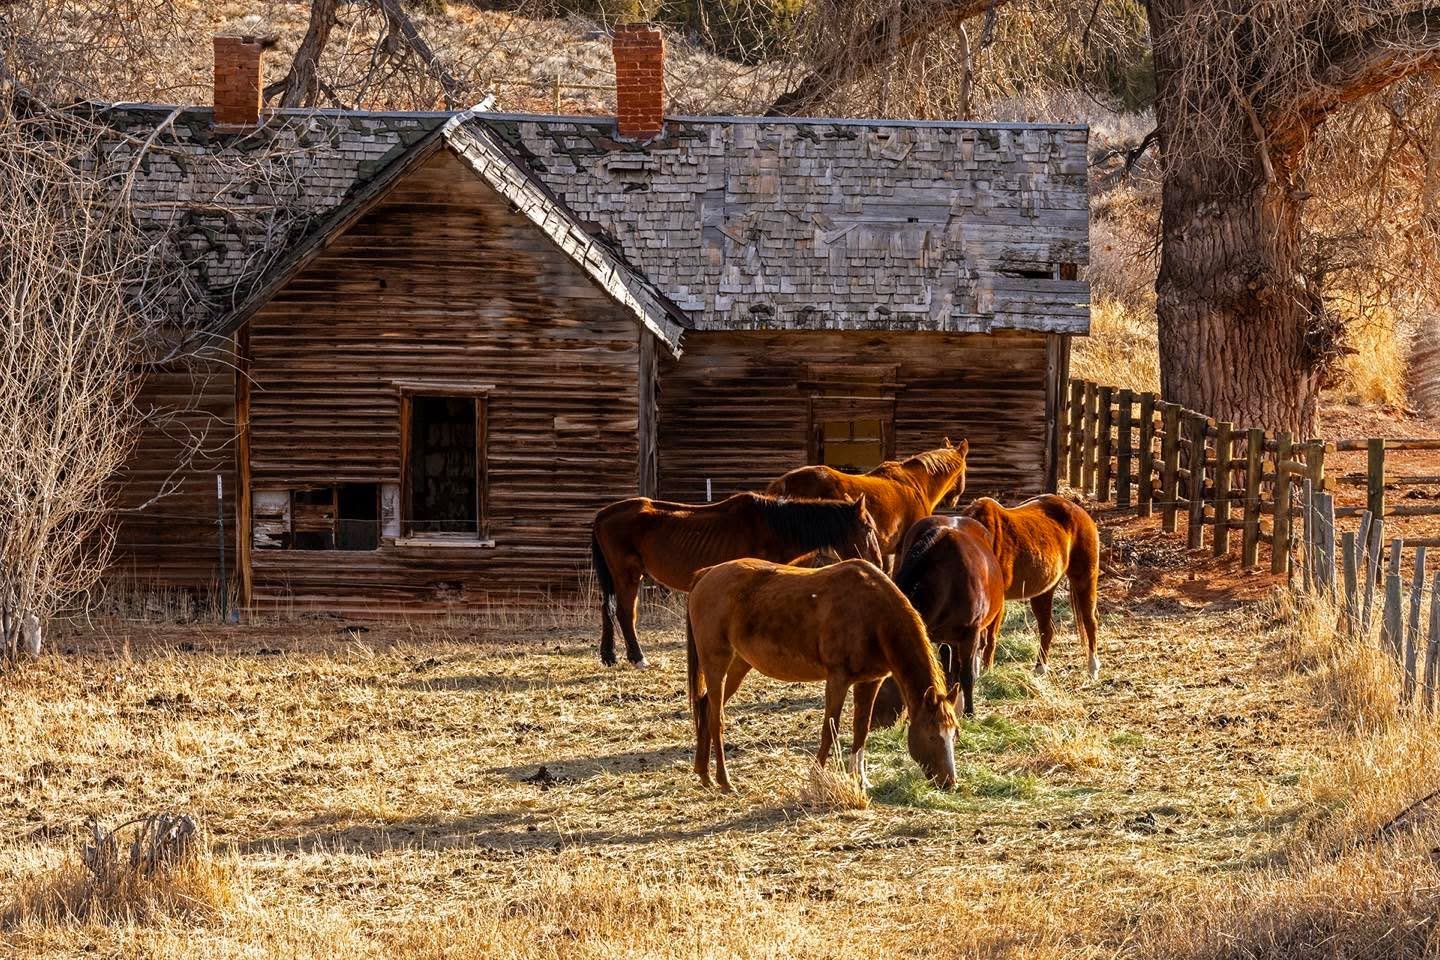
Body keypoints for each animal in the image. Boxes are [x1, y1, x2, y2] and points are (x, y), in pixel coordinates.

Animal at [590, 492, 883, 668]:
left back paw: (610, 656)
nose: (878, 563)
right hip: (627, 575)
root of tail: (603, 514)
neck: (773, 527)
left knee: (608, 609)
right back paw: (638, 658)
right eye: (868, 528)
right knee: (625, 613)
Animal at [685, 557, 960, 792]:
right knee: (716, 718)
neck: (873, 615)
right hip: (716, 661)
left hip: (739, 664)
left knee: (706, 706)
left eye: (953, 734)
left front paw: (860, 780)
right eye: (932, 736)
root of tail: (706, 574)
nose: (949, 783)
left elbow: (861, 729)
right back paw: (724, 780)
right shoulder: (837, 679)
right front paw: (816, 775)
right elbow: (830, 728)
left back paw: (704, 774)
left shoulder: (869, 682)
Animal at [963, 495, 1101, 679]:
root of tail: (1080, 511)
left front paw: (986, 672)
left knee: (1090, 621)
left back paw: (1092, 669)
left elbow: (990, 638)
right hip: (1043, 591)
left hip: (1085, 579)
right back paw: (1040, 669)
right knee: (1047, 629)